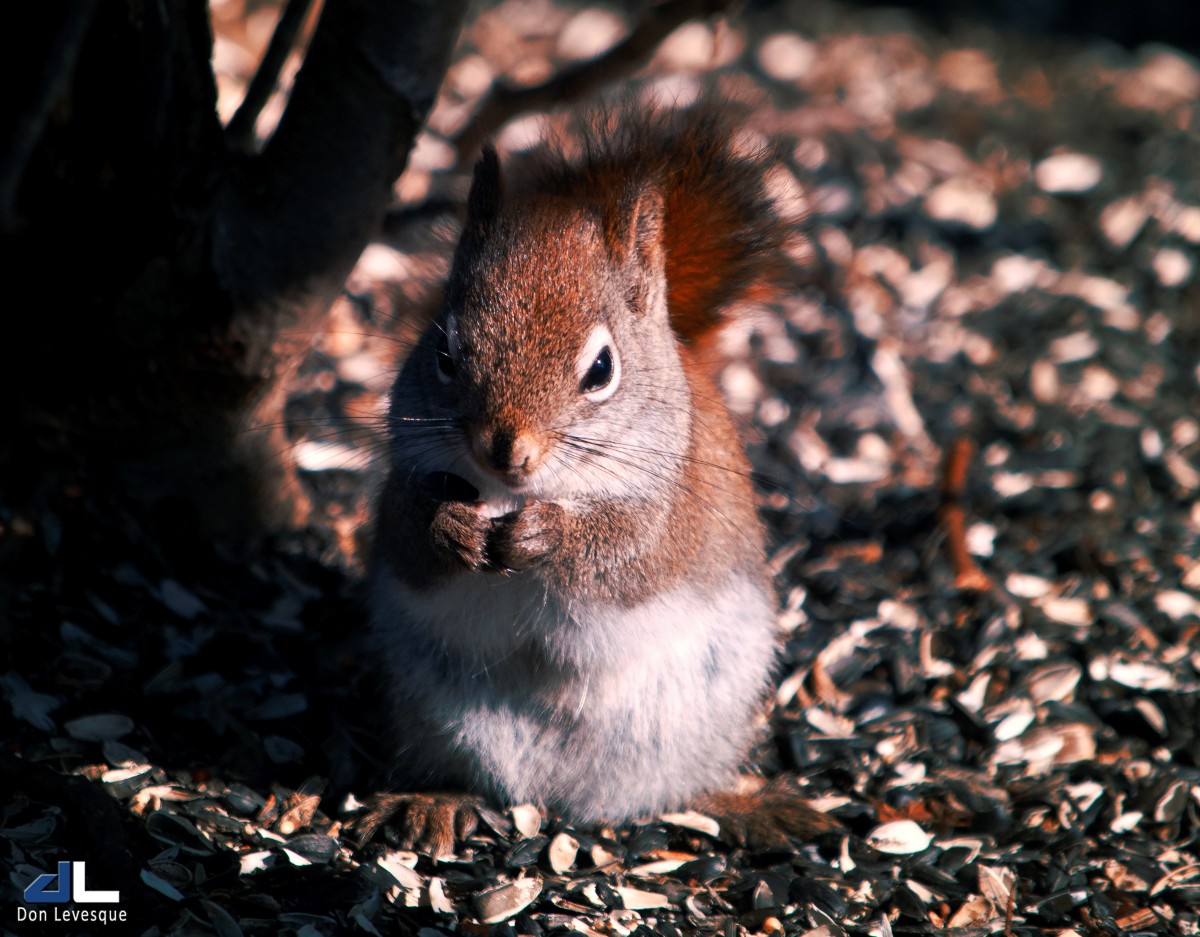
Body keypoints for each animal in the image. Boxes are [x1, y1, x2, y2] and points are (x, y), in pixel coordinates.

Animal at [350, 102, 840, 854]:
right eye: (443, 352)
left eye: (602, 369)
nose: (506, 450)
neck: (518, 494)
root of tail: (558, 795)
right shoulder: (404, 478)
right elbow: (409, 538)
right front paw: (450, 527)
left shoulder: (671, 514)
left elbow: (625, 559)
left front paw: (550, 535)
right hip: (433, 711)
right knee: (462, 772)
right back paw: (434, 799)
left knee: (680, 789)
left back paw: (741, 804)